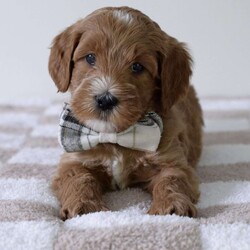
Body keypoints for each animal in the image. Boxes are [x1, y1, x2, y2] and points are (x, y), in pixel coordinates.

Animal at [48, 6, 203, 221]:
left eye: (137, 66)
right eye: (90, 57)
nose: (105, 99)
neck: (115, 137)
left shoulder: (173, 159)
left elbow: (172, 180)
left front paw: (171, 206)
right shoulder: (74, 160)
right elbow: (79, 179)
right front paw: (84, 206)